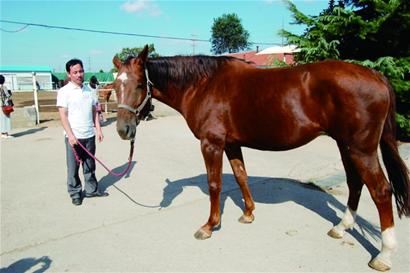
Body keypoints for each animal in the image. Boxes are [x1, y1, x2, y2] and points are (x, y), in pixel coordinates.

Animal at [110, 44, 408, 270]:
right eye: (115, 84)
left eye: (140, 84)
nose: (124, 130)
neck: (203, 85)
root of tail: (376, 75)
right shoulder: (231, 144)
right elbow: (240, 176)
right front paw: (248, 213)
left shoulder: (212, 144)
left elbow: (215, 184)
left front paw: (210, 226)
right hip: (345, 145)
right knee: (355, 183)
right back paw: (341, 227)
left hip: (361, 149)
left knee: (381, 190)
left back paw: (384, 255)